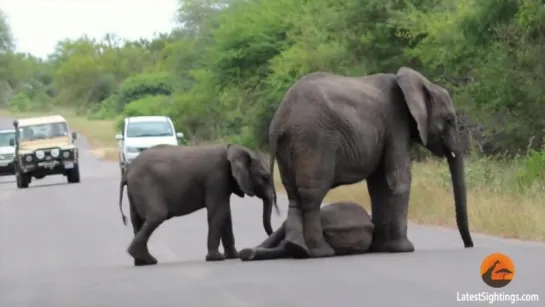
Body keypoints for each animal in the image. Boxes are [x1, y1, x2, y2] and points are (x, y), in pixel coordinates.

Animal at [119, 144, 280, 268]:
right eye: (265, 177)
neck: (231, 150)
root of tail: (127, 172)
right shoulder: (217, 179)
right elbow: (219, 212)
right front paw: (216, 258)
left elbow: (226, 216)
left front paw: (233, 256)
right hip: (145, 185)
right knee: (156, 216)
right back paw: (147, 259)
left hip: (136, 190)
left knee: (137, 221)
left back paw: (142, 262)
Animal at [266, 67, 472, 260]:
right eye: (448, 120)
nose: (468, 246)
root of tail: (279, 120)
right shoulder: (396, 123)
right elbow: (399, 178)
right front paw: (404, 249)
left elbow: (379, 184)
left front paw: (381, 248)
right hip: (314, 141)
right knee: (312, 196)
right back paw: (320, 252)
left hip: (290, 146)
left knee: (294, 194)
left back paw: (297, 248)